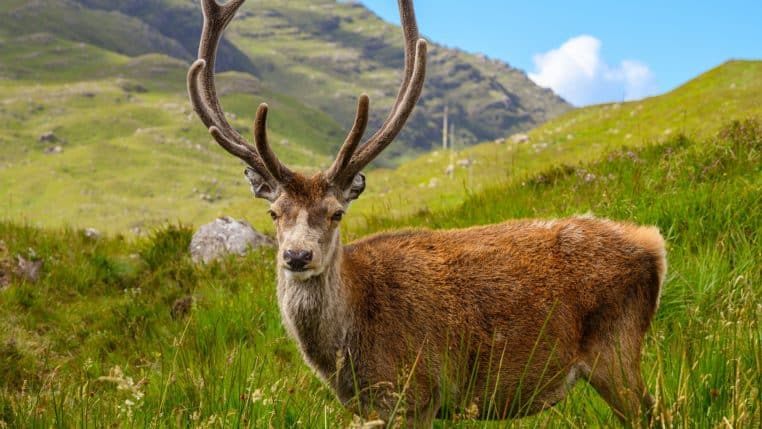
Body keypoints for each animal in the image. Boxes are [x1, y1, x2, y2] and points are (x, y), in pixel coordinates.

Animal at [189, 0, 664, 424]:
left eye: (337, 212)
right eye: (274, 213)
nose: (298, 256)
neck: (351, 349)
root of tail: (653, 246)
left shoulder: (415, 393)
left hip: (616, 351)